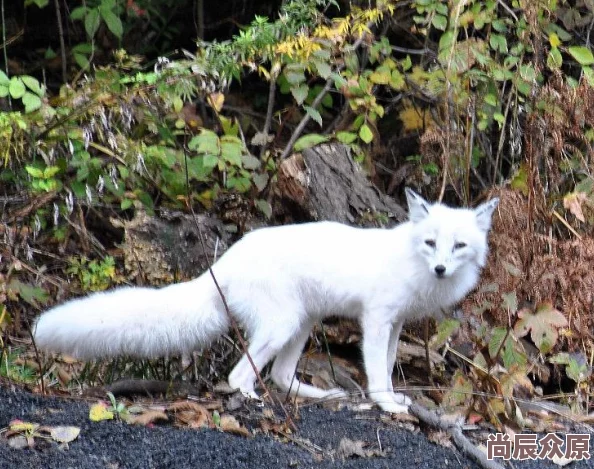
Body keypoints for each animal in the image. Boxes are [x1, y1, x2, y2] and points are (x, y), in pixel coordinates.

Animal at [32, 188, 494, 412]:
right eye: (430, 242)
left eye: (459, 246)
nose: (441, 269)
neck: (412, 264)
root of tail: (223, 263)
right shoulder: (376, 319)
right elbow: (377, 370)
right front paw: (385, 405)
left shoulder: (396, 323)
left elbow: (390, 366)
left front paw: (394, 398)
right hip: (282, 325)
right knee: (240, 375)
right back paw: (252, 400)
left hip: (301, 324)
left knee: (281, 375)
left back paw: (320, 396)